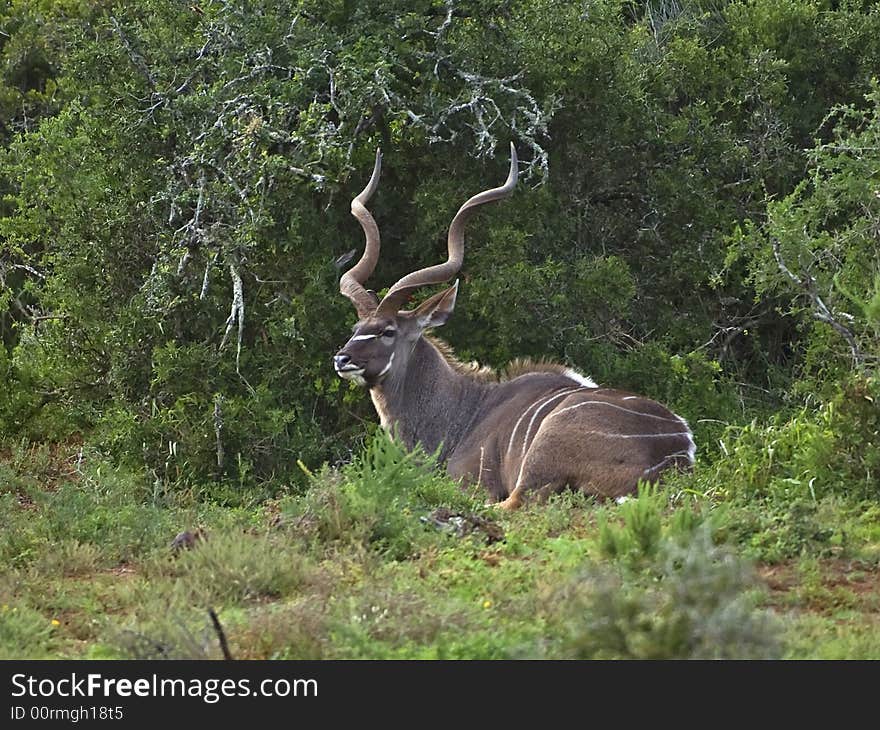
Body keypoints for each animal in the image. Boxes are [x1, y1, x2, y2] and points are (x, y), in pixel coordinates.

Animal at [334, 142, 696, 506]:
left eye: (388, 331)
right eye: (355, 329)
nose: (341, 359)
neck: (463, 412)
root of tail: (678, 450)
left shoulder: (472, 481)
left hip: (544, 449)